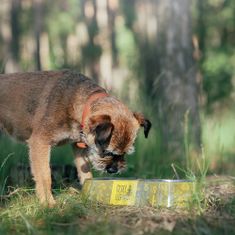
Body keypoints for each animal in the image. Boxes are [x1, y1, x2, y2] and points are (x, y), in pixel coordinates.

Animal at [0, 70, 151, 206]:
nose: (114, 170)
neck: (78, 102)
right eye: (106, 152)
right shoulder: (40, 143)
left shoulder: (80, 148)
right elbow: (45, 176)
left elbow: (86, 173)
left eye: (125, 153)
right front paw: (48, 203)